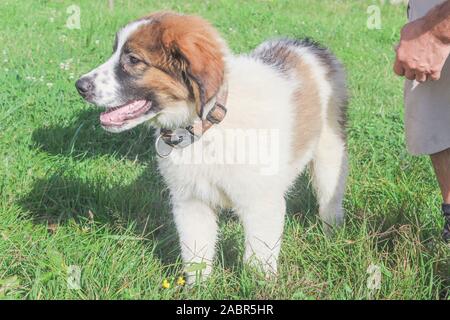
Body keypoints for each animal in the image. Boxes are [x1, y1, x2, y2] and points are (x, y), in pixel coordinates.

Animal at [75, 11, 348, 282]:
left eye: (133, 59)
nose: (79, 85)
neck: (206, 127)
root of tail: (306, 44)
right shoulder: (191, 202)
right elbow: (196, 253)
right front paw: (199, 287)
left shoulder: (261, 203)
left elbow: (258, 260)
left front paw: (257, 286)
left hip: (329, 154)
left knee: (329, 199)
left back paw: (332, 236)